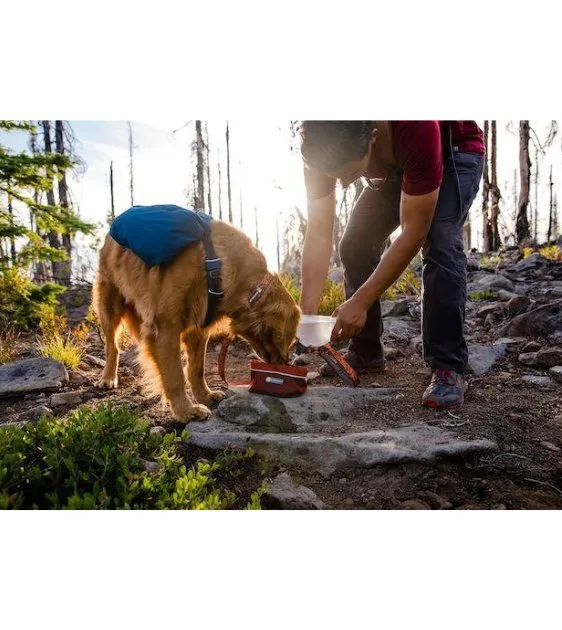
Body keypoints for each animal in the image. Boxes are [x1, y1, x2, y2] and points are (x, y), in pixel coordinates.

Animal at [92, 220, 300, 422]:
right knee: (112, 346)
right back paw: (108, 378)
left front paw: (205, 396)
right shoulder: (165, 327)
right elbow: (175, 375)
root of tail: (112, 230)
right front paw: (186, 411)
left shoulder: (197, 329)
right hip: (109, 305)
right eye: (285, 339)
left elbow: (196, 369)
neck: (214, 265)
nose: (285, 363)